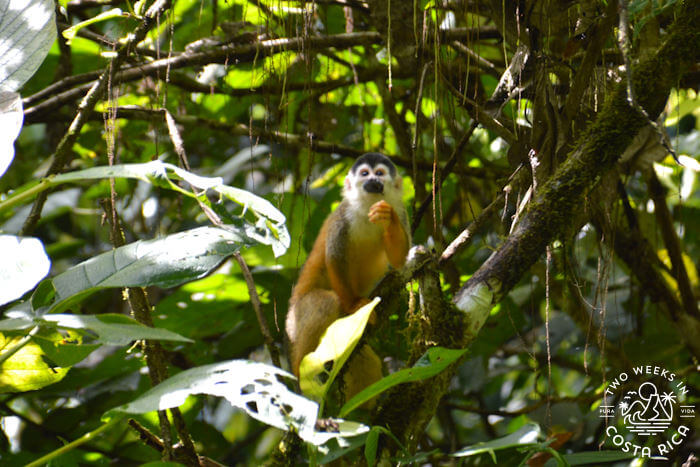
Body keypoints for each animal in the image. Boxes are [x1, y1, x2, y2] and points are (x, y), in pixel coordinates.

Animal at [288, 154, 412, 402]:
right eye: (365, 173)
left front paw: (388, 218)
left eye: (379, 173)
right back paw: (300, 372)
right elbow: (334, 257)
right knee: (325, 303)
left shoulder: (402, 210)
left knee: (364, 359)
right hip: (295, 319)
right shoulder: (342, 216)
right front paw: (355, 305)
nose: (373, 180)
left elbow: (400, 259)